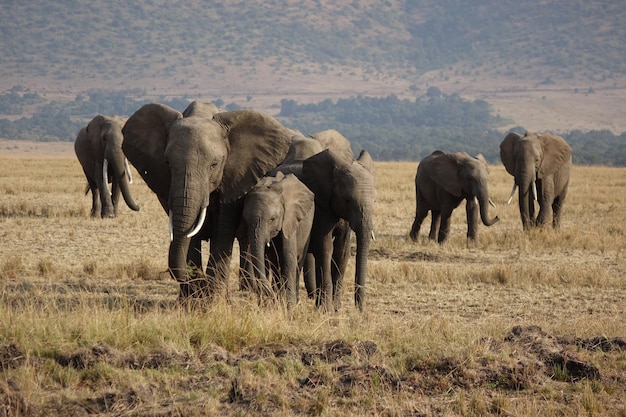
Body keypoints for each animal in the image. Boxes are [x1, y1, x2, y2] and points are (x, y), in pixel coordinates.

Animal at [122, 101, 292, 302]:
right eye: (167, 163)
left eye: (214, 164)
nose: (200, 281)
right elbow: (190, 234)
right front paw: (191, 301)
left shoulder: (233, 176)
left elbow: (222, 231)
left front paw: (215, 300)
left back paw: (248, 289)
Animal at [240, 171, 314, 308]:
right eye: (245, 219)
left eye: (272, 219)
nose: (270, 296)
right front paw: (268, 306)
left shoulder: (289, 218)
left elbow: (288, 257)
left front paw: (290, 308)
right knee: (274, 263)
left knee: (298, 261)